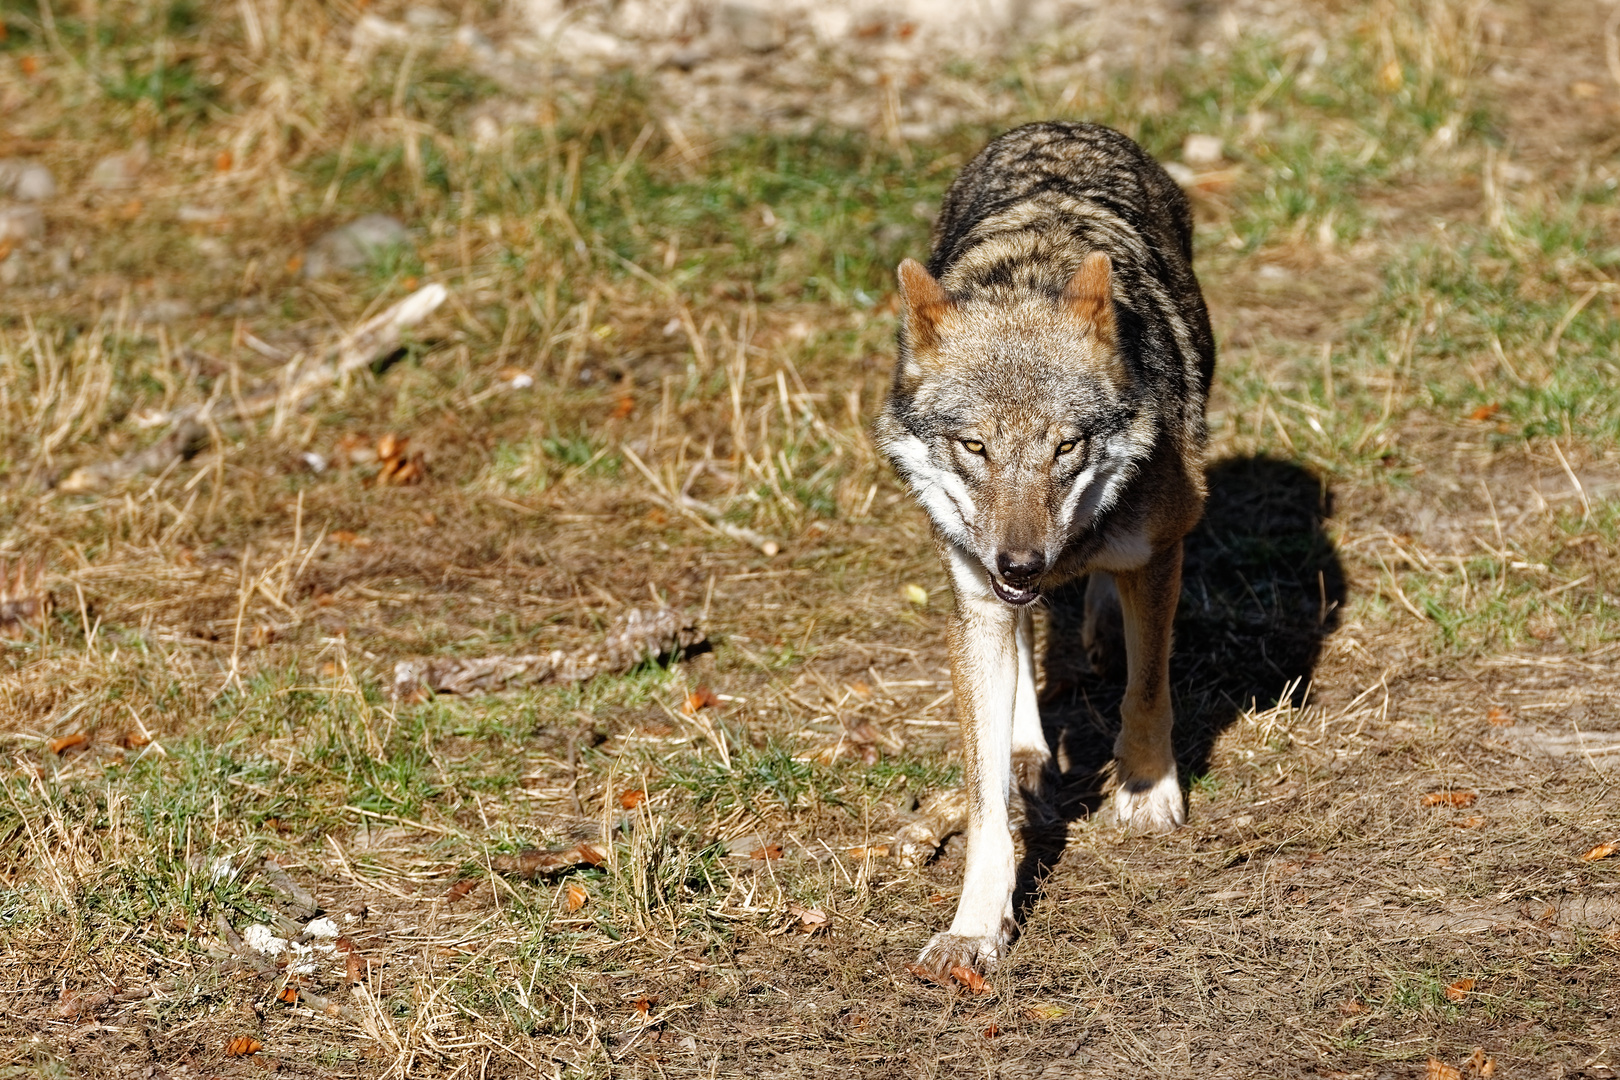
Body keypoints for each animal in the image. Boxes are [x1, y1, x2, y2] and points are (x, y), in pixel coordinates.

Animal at [881, 122, 1211, 977]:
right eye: (975, 446)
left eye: (1066, 446)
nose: (1021, 564)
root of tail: (1061, 125)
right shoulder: (976, 601)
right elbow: (989, 806)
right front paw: (976, 927)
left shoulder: (1161, 549)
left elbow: (1146, 692)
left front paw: (1146, 792)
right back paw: (1029, 745)